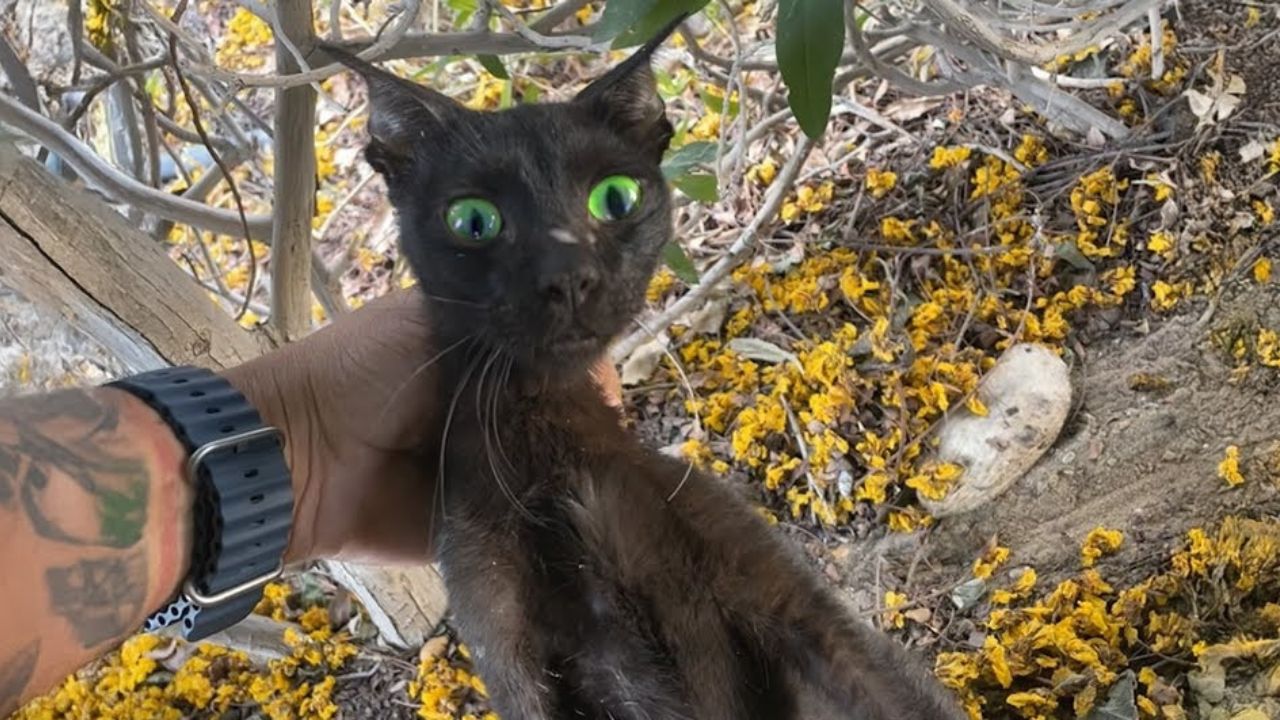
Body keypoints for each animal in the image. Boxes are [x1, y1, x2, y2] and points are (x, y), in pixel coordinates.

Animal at [325, 23, 962, 717]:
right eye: (473, 220)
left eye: (615, 198)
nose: (567, 276)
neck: (549, 447)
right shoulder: (509, 652)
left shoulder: (783, 594)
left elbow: (898, 695)